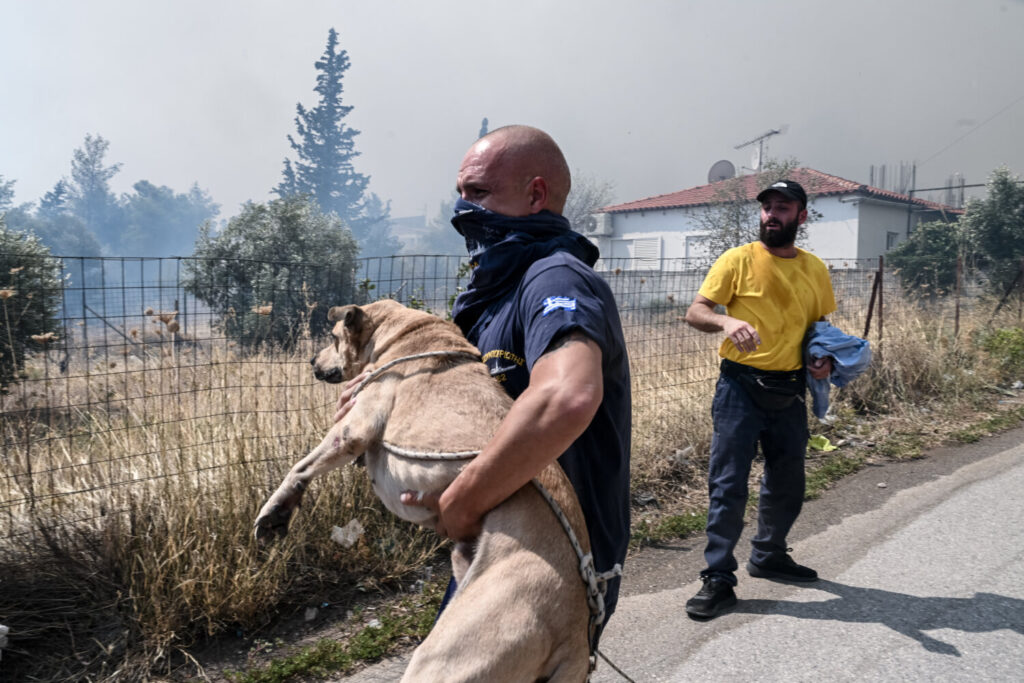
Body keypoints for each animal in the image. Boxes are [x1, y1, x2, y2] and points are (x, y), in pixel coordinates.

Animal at [256, 301, 593, 683]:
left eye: (333, 336)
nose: (312, 360)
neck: (404, 334)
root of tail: (575, 635)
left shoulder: (354, 427)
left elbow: (300, 467)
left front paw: (277, 511)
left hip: (445, 657)